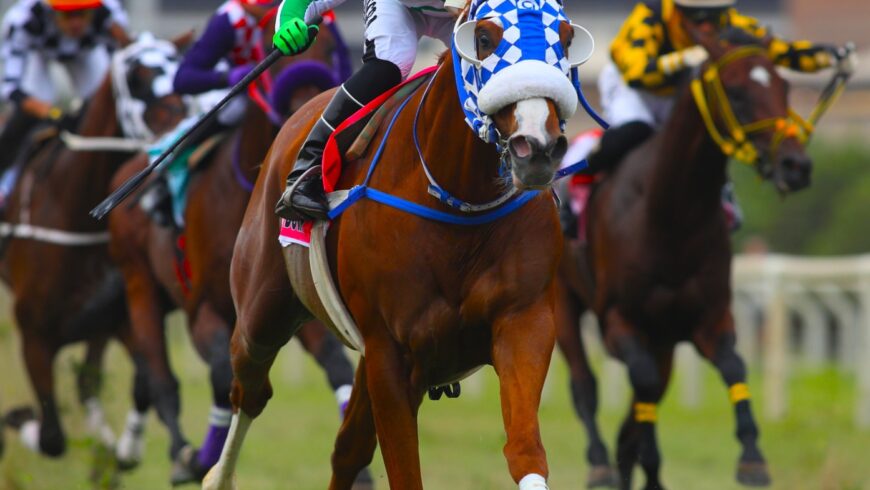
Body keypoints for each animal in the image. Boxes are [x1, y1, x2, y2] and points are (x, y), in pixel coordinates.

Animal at [0, 37, 188, 460]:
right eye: (138, 80)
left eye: (178, 69)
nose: (186, 123)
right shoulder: (33, 337)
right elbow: (52, 436)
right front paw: (19, 418)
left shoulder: (118, 320)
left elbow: (144, 386)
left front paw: (123, 449)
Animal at [108, 20, 368, 486]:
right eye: (272, 51)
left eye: (328, 49)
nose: (306, 112)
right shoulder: (203, 310)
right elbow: (217, 373)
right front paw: (202, 460)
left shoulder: (293, 303)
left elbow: (335, 365)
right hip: (141, 287)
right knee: (159, 374)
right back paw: (179, 453)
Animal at [204, 1, 600, 488]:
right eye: (483, 39)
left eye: (565, 39)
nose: (538, 147)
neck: (457, 199)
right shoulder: (391, 355)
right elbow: (404, 470)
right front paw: (291, 28)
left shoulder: (523, 322)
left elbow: (525, 450)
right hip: (262, 314)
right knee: (251, 391)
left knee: (347, 448)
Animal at [556, 26, 820, 490]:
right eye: (736, 92)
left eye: (785, 87)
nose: (795, 165)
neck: (670, 214)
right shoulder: (620, 320)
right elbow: (640, 386)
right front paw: (638, 459)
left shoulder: (708, 315)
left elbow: (732, 366)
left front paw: (752, 457)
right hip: (561, 301)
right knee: (584, 385)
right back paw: (600, 464)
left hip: (660, 337)